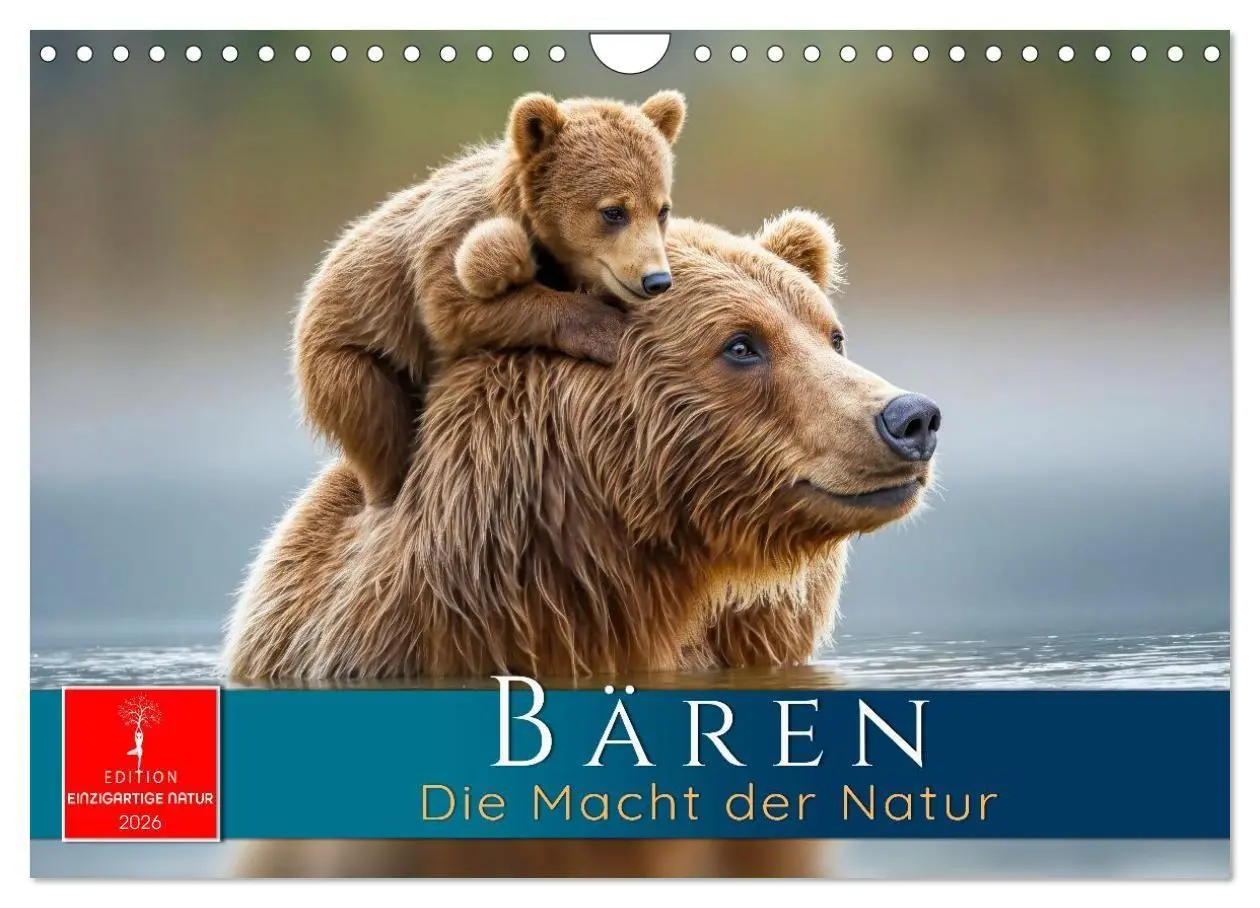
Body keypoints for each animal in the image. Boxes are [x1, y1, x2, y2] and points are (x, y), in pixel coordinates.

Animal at [295, 90, 686, 507]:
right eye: (613, 211)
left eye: (662, 209)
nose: (656, 279)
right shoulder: (454, 240)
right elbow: (452, 310)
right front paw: (605, 329)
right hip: (350, 360)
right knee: (378, 425)